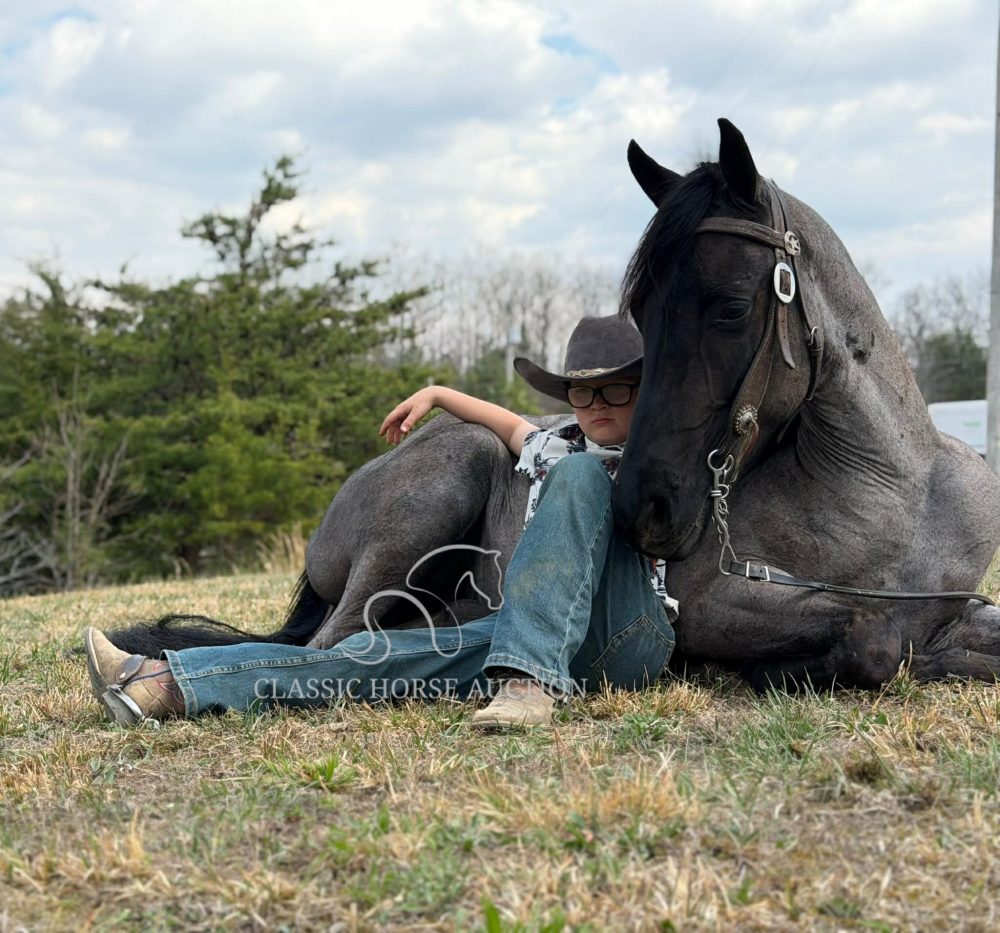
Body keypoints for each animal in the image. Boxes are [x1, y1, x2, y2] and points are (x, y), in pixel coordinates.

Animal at [110, 119, 1000, 692]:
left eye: (727, 307)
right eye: (639, 311)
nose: (642, 505)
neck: (897, 495)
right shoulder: (714, 605)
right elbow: (872, 639)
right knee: (337, 644)